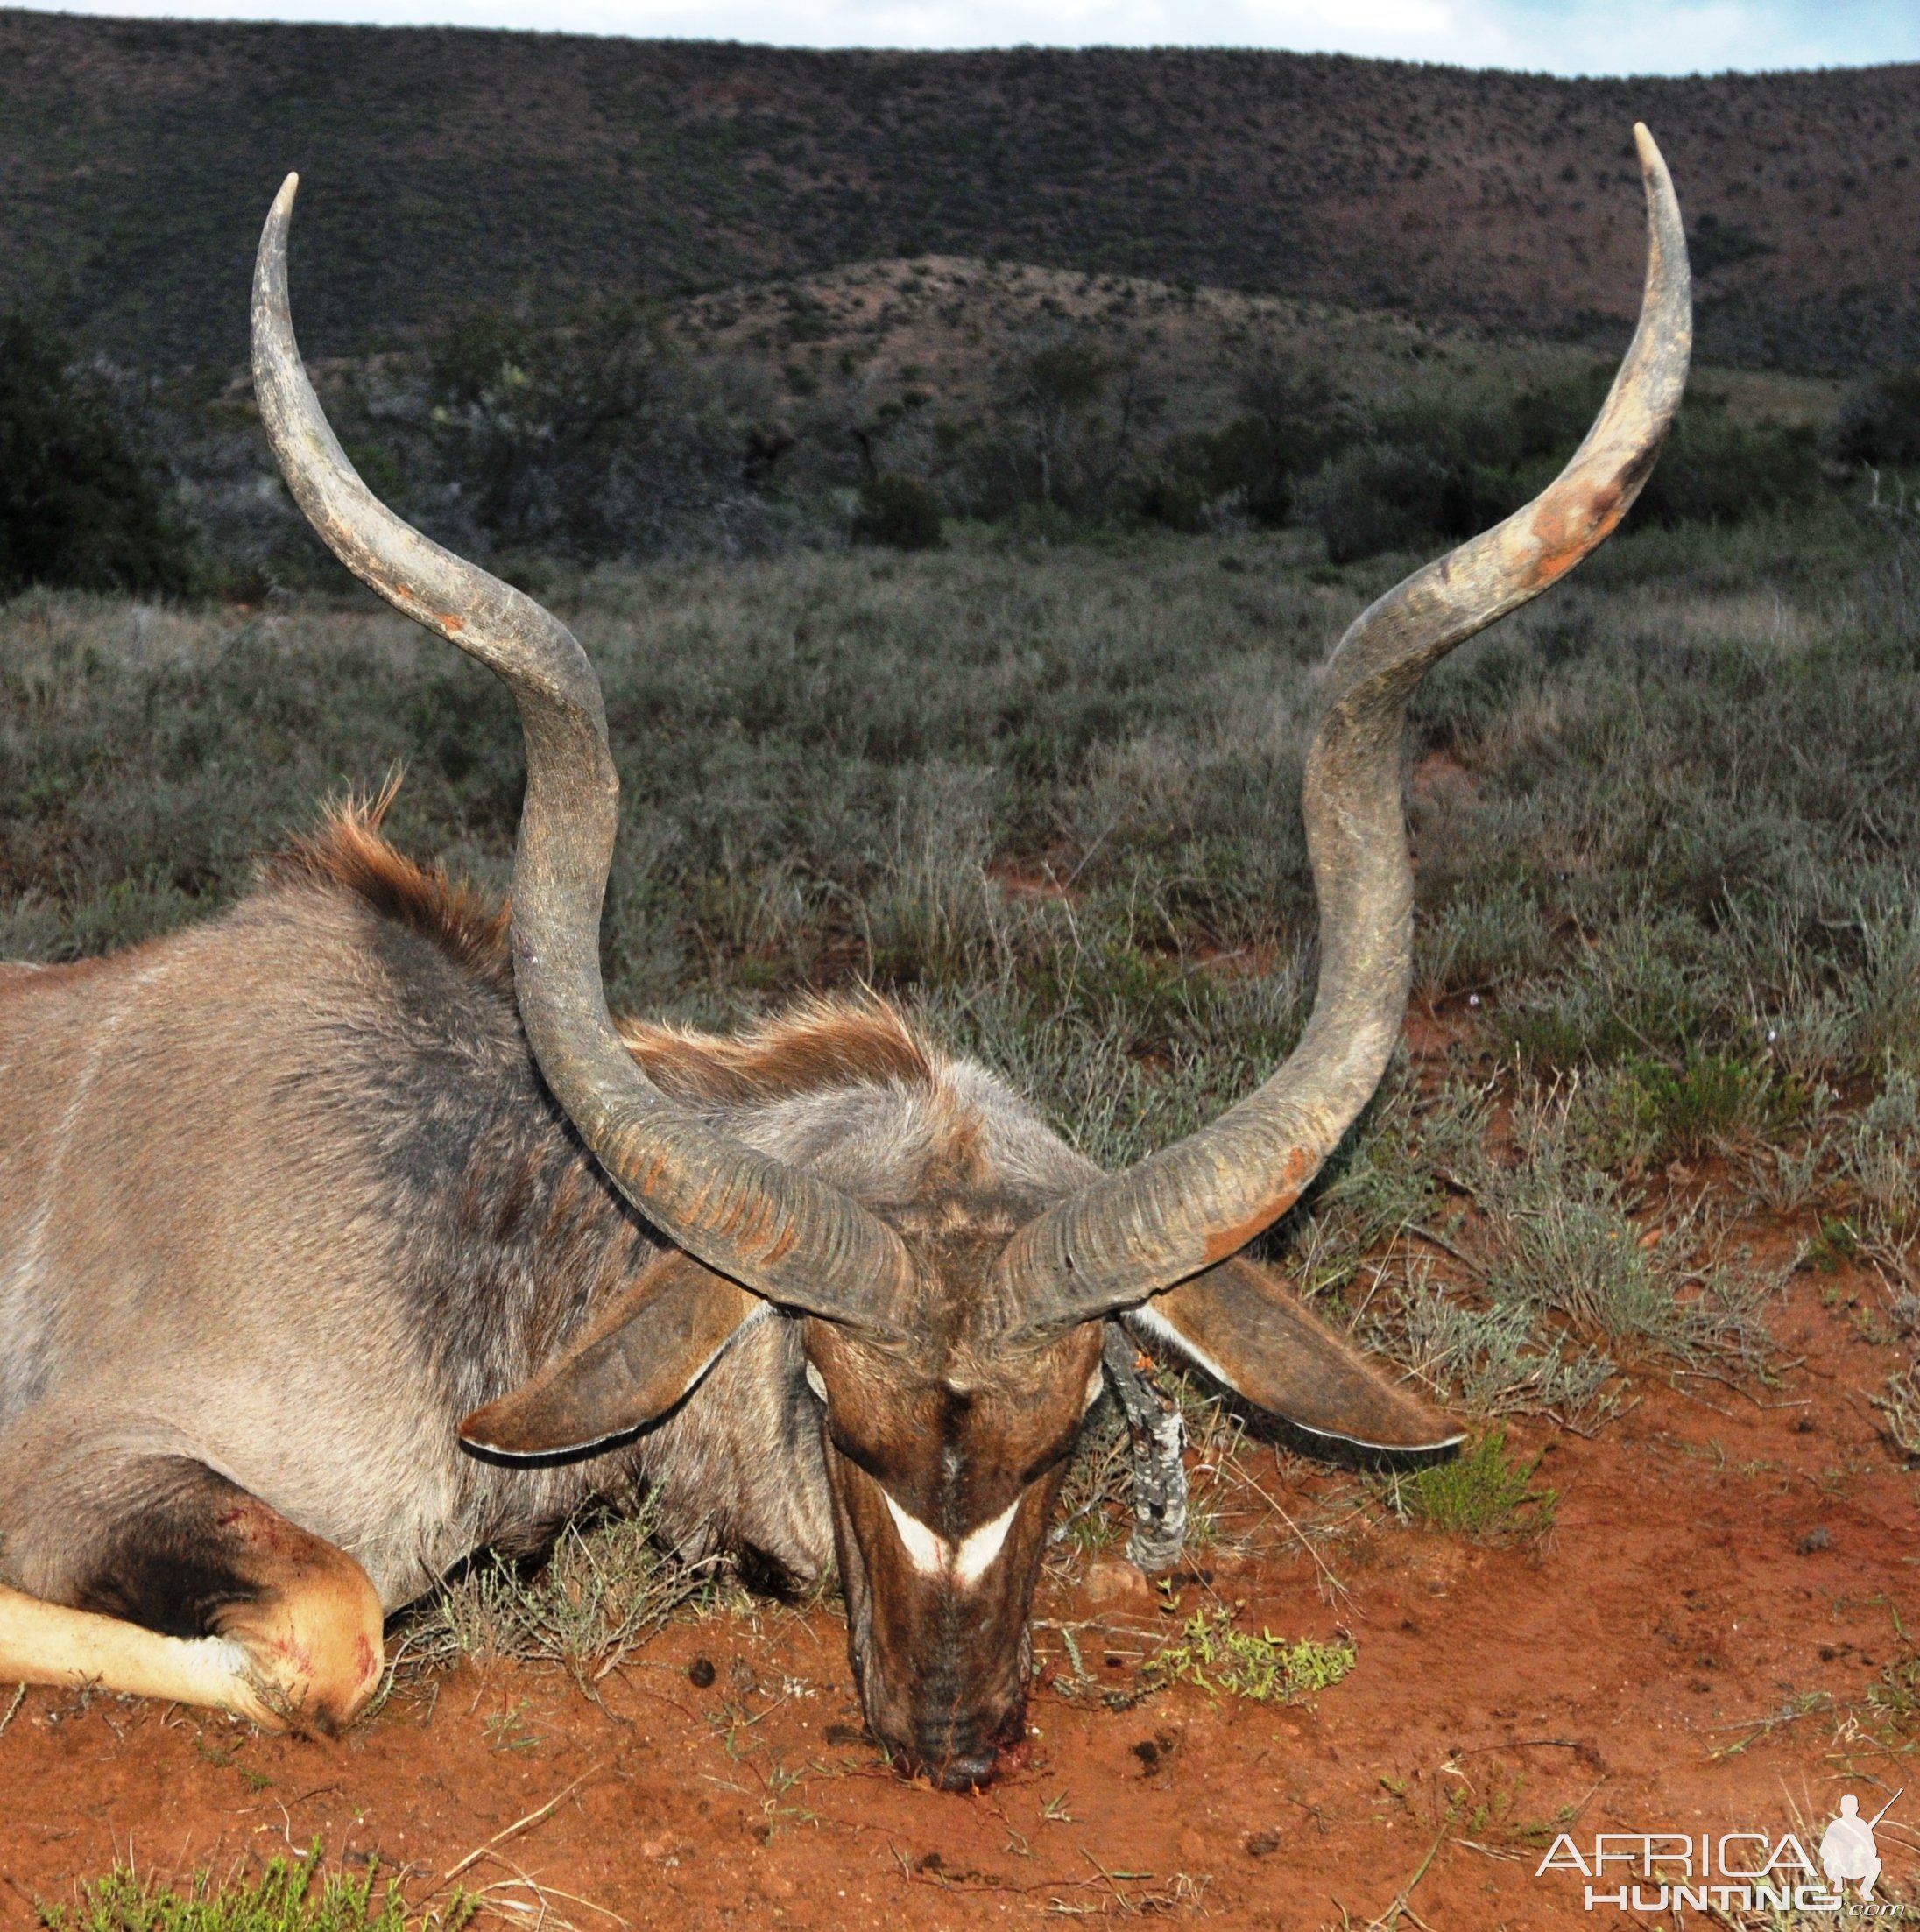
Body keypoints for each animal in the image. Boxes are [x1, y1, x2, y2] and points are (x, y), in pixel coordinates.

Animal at [0, 128, 1676, 1785]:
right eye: (828, 1399)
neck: (460, 1214)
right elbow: (335, 1627)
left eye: (1067, 1430)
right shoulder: (79, 1470)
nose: (953, 1738)